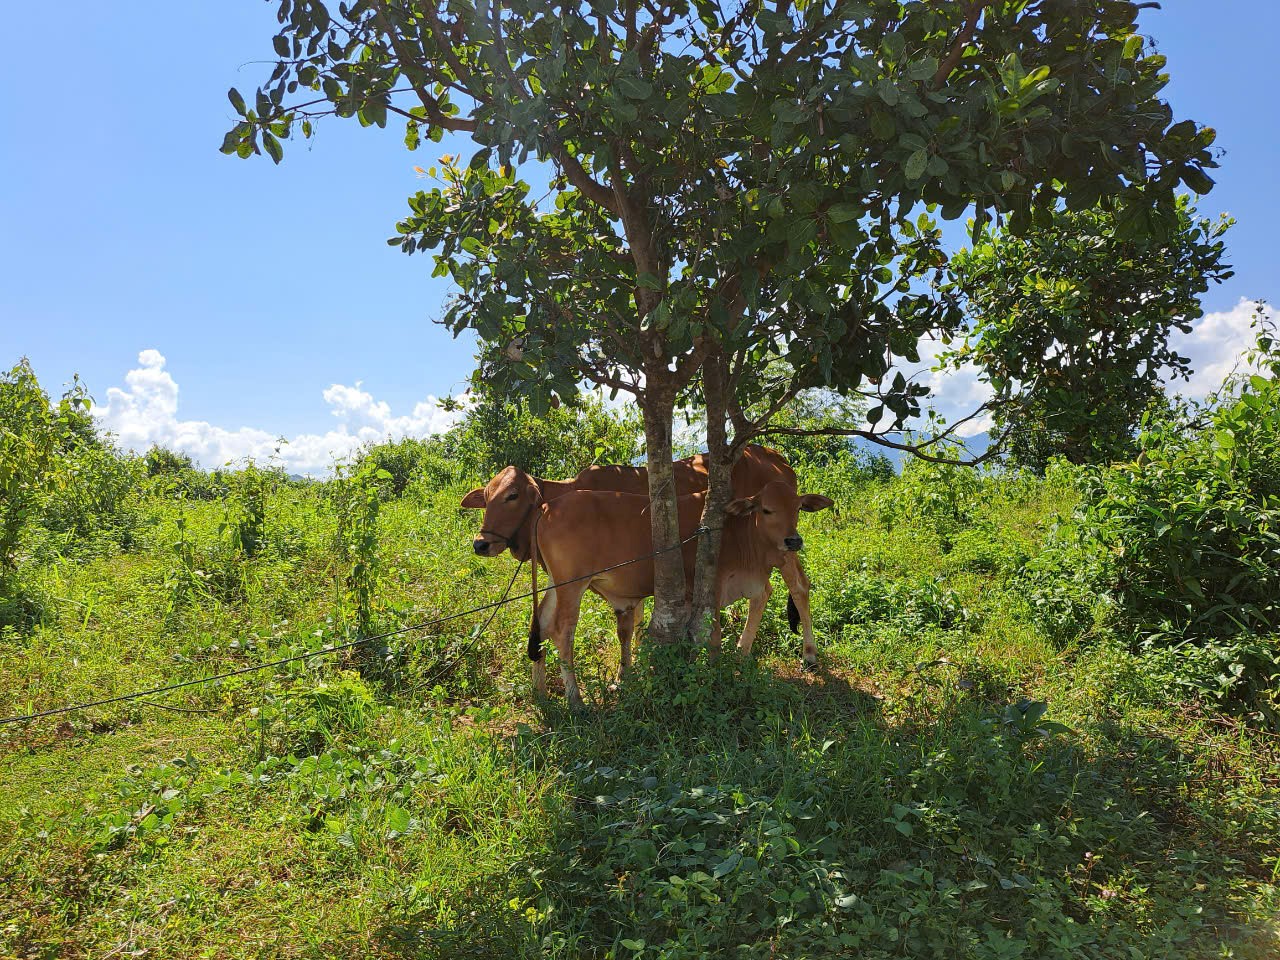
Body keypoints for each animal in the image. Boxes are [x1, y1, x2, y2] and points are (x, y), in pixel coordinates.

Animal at [463, 448, 819, 665]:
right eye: (486, 497)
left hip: (784, 545)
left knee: (799, 587)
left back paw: (810, 655)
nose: (481, 544)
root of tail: (775, 457)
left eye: (512, 495)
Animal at [524, 483, 834, 711]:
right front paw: (715, 674)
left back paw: (540, 692)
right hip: (572, 585)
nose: (793, 540)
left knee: (542, 623)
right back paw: (575, 699)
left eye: (798, 508)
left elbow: (757, 604)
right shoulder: (710, 585)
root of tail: (549, 506)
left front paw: (740, 658)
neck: (741, 530)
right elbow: (712, 634)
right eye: (767, 510)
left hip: (556, 583)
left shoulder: (754, 582)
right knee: (562, 631)